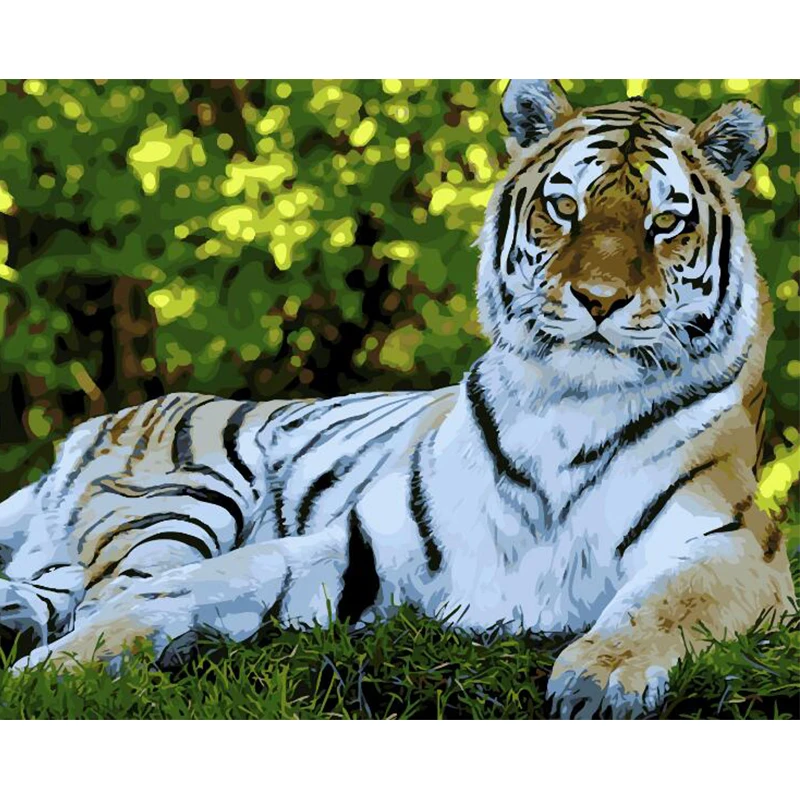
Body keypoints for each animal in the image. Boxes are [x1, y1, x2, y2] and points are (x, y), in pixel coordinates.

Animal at [0, 80, 794, 719]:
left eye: (665, 222)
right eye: (565, 207)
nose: (599, 300)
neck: (568, 410)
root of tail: (95, 423)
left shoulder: (736, 546)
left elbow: (667, 605)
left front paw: (600, 679)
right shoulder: (364, 545)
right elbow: (199, 584)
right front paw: (61, 668)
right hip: (185, 495)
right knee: (101, 587)